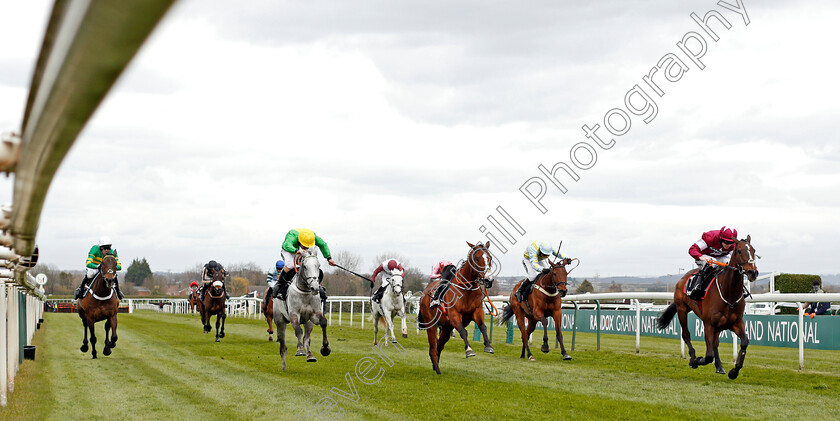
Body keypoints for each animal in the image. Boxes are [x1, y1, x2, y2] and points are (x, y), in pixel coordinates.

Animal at [418, 240, 496, 374]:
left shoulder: (477, 311)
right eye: (476, 258)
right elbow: (463, 331)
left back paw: (435, 366)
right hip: (431, 324)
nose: (488, 279)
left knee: (439, 346)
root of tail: (425, 293)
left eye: (489, 257)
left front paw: (488, 346)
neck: (467, 289)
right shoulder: (454, 314)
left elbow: (483, 327)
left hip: (446, 328)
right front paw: (469, 350)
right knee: (433, 348)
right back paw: (437, 370)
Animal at [656, 235, 760, 378]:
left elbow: (744, 342)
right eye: (739, 251)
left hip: (718, 326)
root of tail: (683, 278)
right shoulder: (708, 324)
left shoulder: (736, 322)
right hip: (682, 309)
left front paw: (734, 371)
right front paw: (697, 360)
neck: (729, 294)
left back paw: (719, 366)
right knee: (686, 334)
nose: (752, 272)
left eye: (754, 250)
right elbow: (708, 355)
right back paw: (693, 358)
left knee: (715, 343)